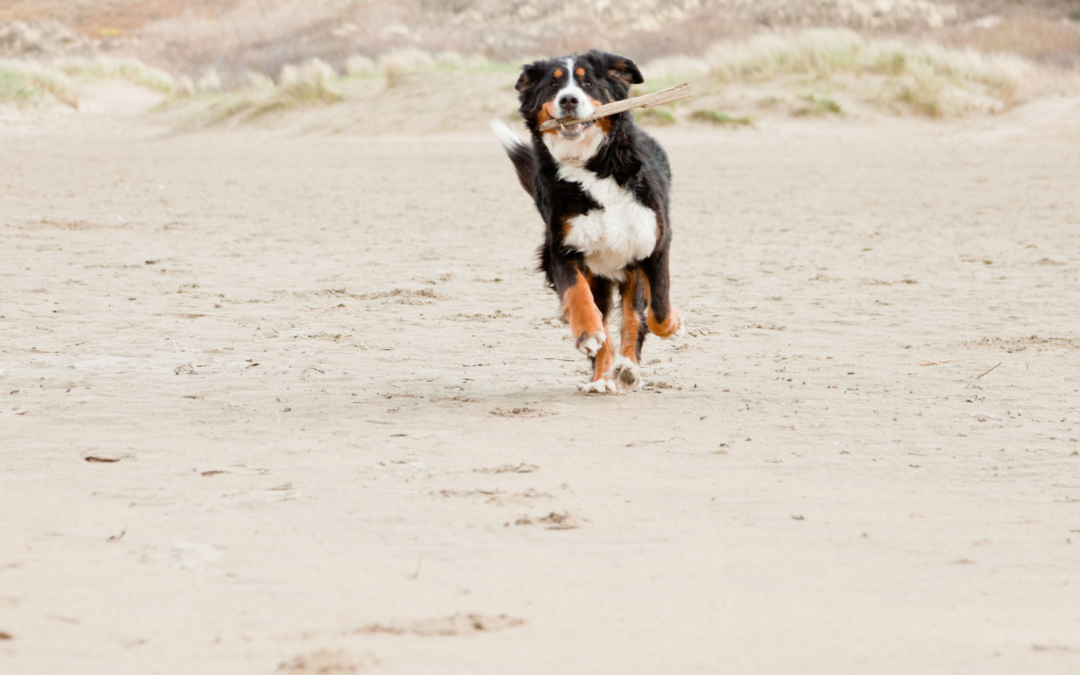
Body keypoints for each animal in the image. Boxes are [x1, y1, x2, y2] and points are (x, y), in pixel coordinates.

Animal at [492, 49, 682, 393]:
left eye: (588, 82)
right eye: (553, 86)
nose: (568, 100)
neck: (593, 167)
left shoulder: (653, 243)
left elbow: (658, 311)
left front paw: (674, 325)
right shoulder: (561, 248)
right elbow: (577, 294)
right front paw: (587, 334)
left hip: (630, 268)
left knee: (634, 317)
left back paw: (627, 368)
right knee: (603, 316)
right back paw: (601, 378)